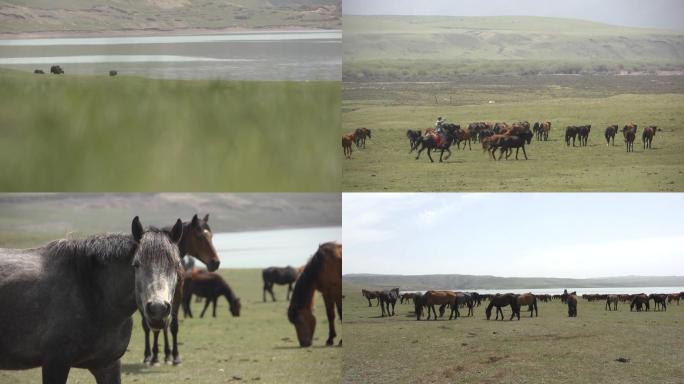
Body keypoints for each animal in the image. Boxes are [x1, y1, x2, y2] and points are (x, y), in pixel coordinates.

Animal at [140, 213, 220, 366]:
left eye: (211, 236)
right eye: (199, 236)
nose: (215, 262)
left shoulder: (176, 296)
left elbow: (172, 326)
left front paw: (174, 356)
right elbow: (155, 328)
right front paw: (155, 356)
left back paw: (166, 354)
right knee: (147, 327)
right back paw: (148, 355)